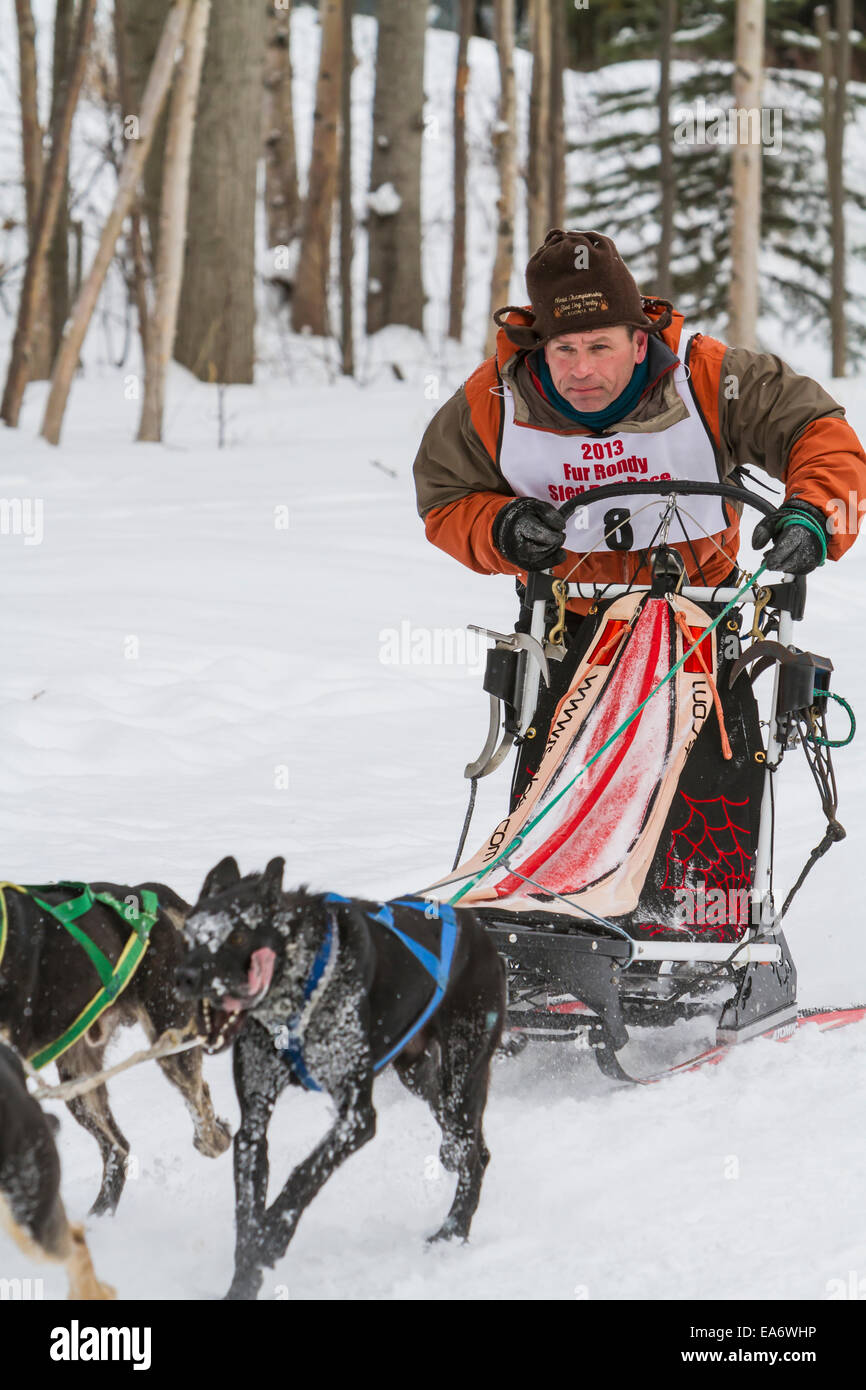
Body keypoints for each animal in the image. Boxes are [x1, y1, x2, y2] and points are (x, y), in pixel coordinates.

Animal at [176, 856, 505, 1301]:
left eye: (239, 934)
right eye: (190, 934)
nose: (184, 977)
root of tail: (478, 928)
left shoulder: (357, 1117)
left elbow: (301, 1177)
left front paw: (272, 1237)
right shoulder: (253, 1127)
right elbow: (247, 1213)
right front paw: (244, 1280)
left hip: (463, 1071)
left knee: (469, 1152)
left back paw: (453, 1231)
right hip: (417, 1075)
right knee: (471, 1148)